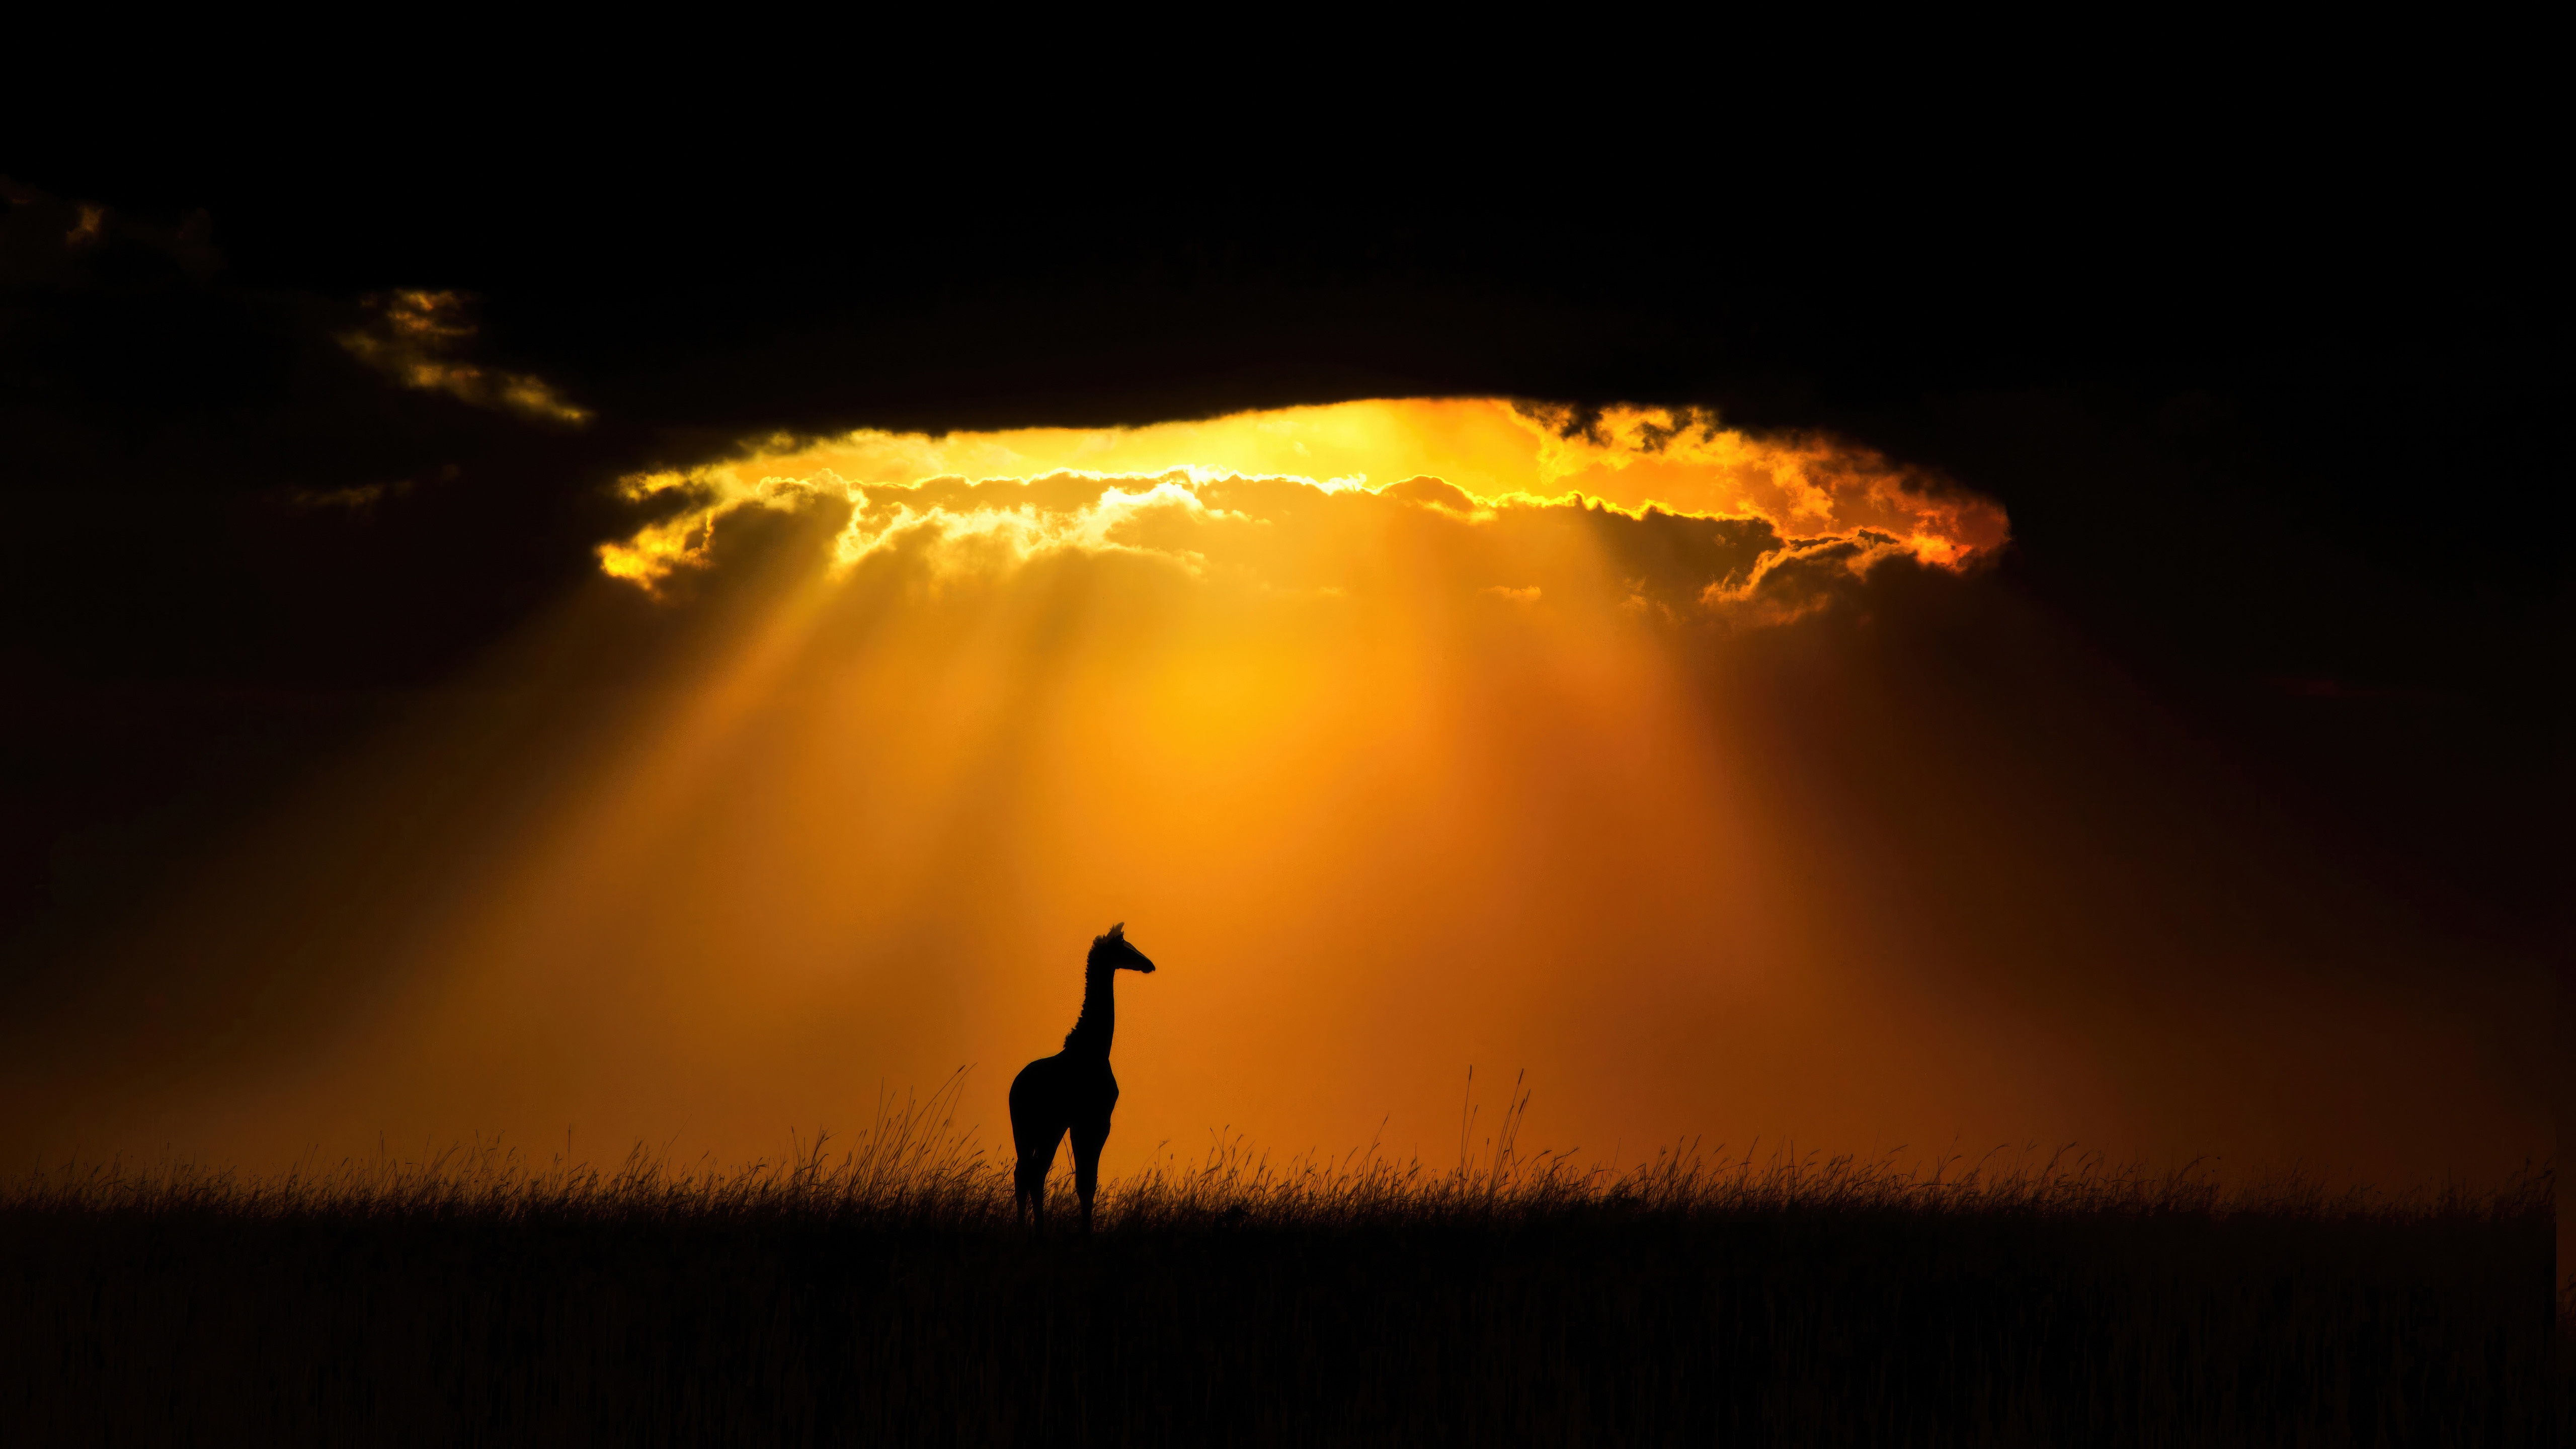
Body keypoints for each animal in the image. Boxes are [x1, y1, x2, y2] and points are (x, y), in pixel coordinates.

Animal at [1010, 922, 1156, 1232]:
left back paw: (1027, 1227)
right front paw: (1086, 1232)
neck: (1096, 1048)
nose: (1149, 964)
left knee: (1026, 1172)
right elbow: (1086, 1183)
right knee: (1033, 1172)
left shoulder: (1080, 1123)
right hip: (1046, 1127)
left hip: (1027, 1129)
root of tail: (1014, 1091)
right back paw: (1036, 1229)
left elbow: (1085, 1182)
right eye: (1125, 947)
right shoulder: (1096, 1121)